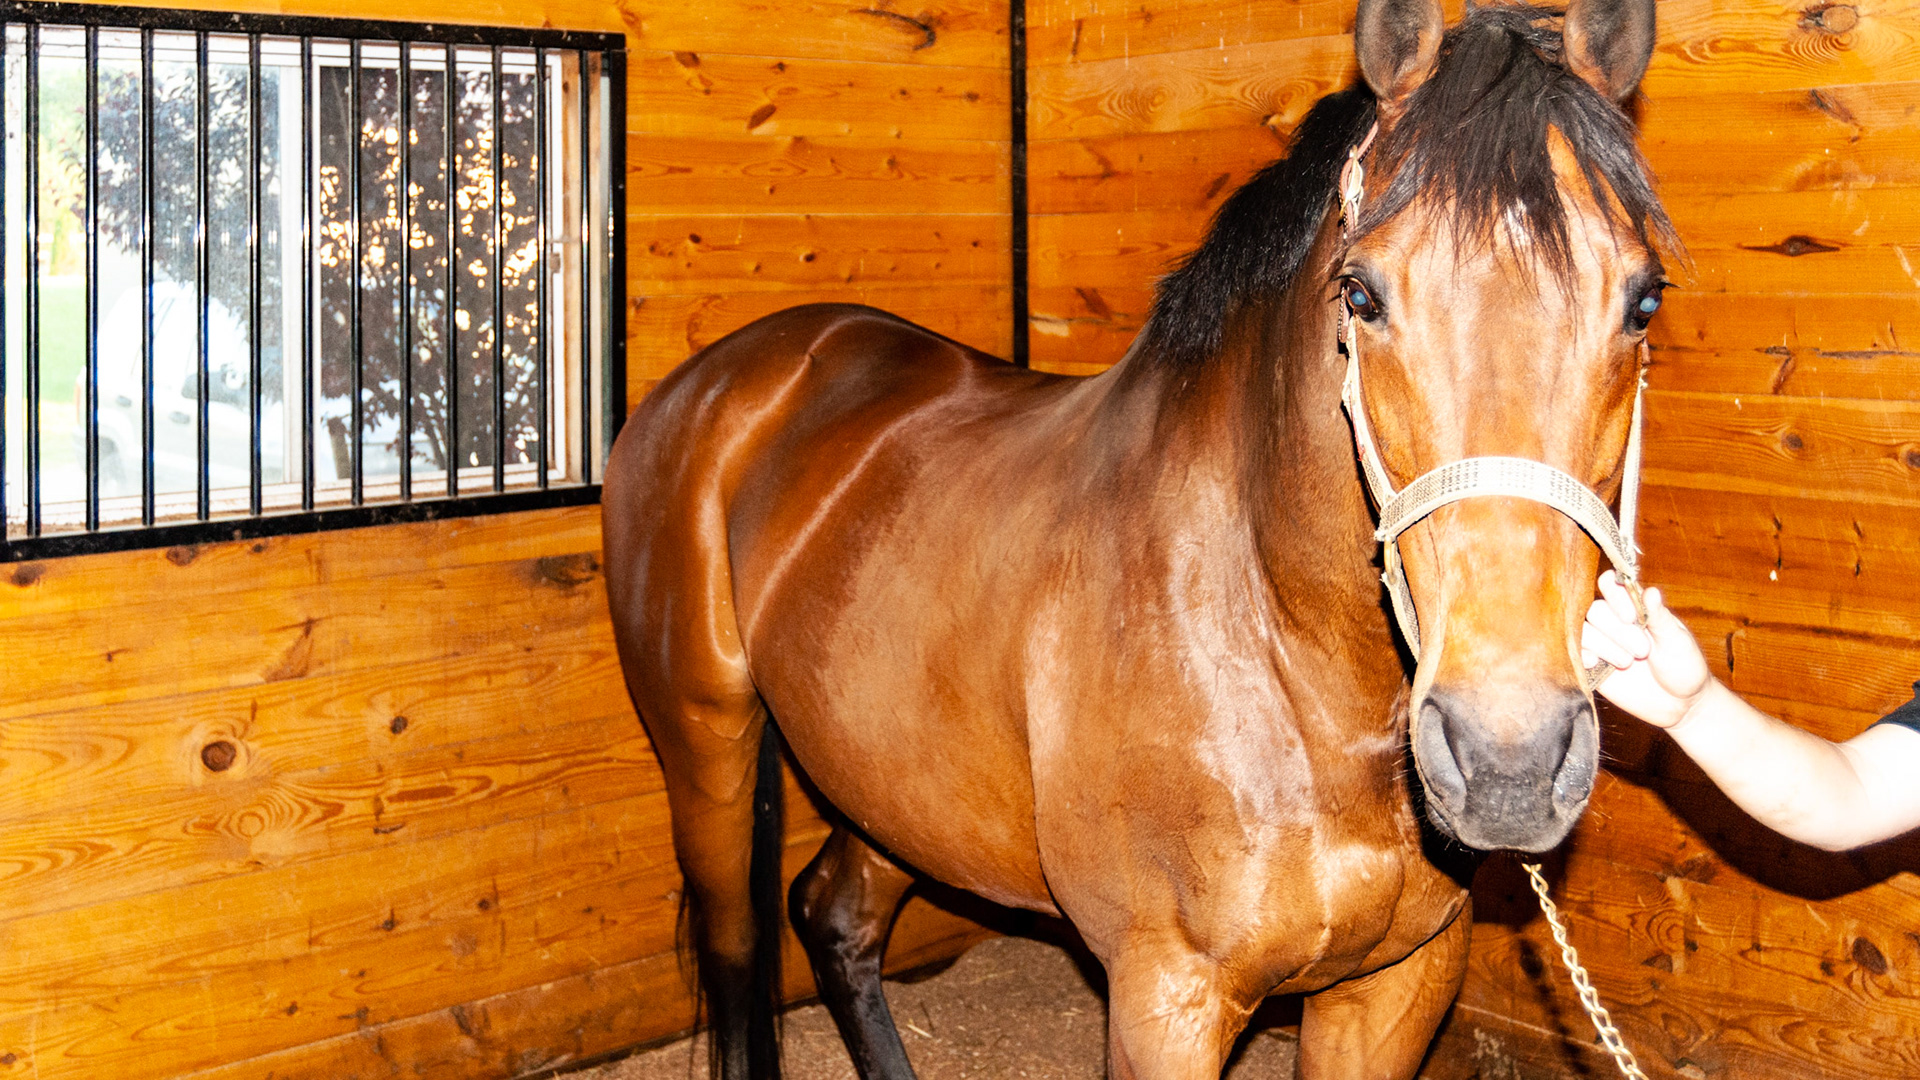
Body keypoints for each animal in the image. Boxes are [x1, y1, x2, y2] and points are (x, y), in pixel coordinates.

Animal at [601, 0, 1677, 1075]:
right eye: (1361, 295)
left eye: (1643, 299)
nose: (1509, 760)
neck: (1287, 653)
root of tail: (727, 376)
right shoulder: (1168, 996)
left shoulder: (1399, 981)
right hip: (707, 744)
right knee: (737, 948)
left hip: (889, 779)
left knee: (833, 914)